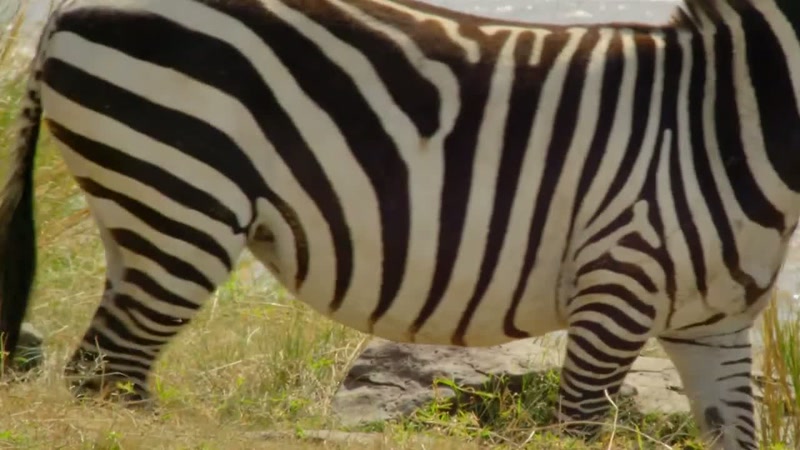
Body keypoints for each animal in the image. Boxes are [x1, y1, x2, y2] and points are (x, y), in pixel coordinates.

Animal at [1, 0, 798, 447]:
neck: (725, 117)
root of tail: (67, 10)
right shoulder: (617, 286)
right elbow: (579, 429)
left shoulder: (713, 328)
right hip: (181, 205)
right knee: (105, 376)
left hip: (144, 215)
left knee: (108, 373)